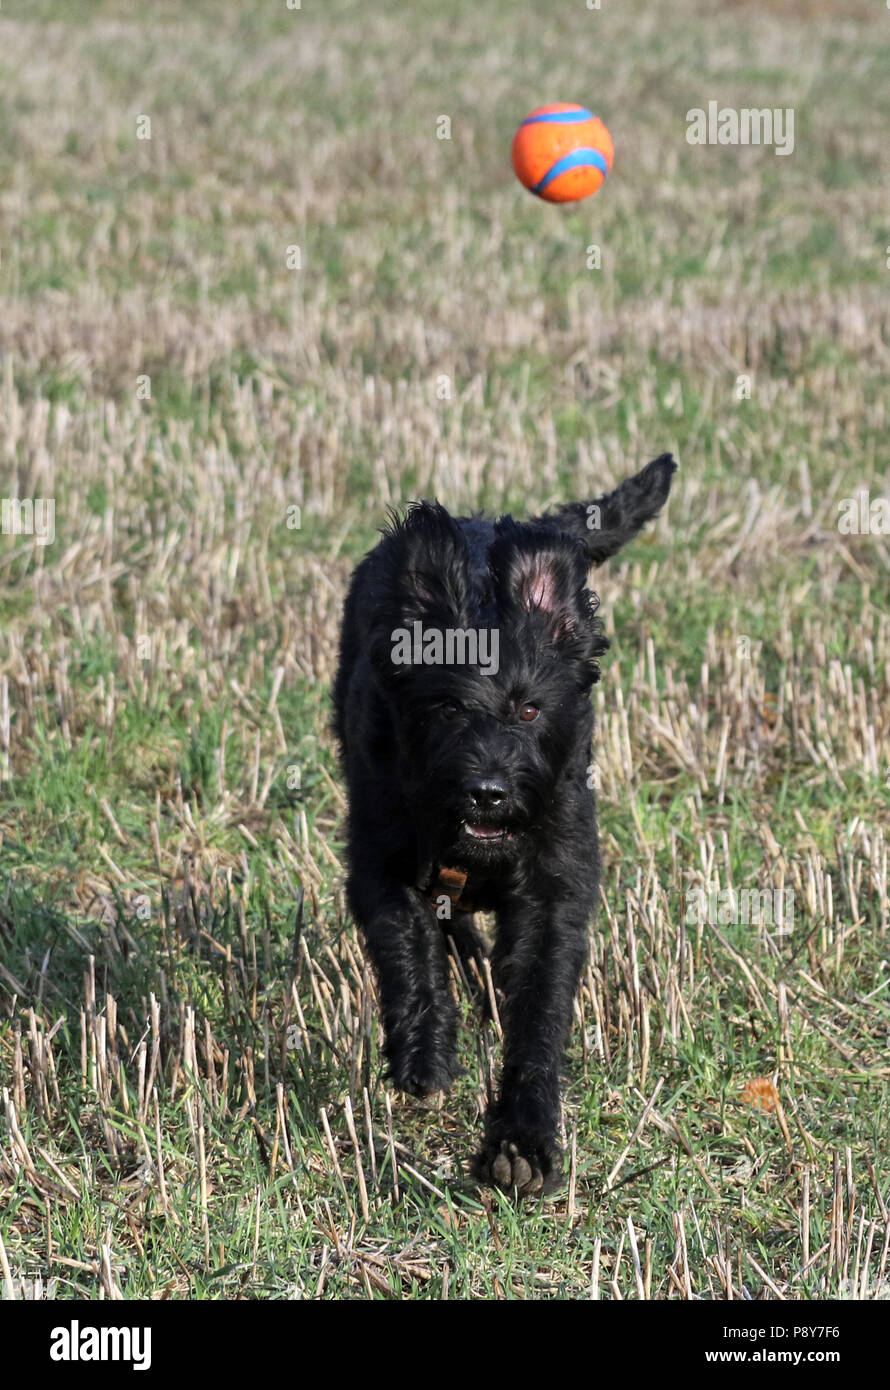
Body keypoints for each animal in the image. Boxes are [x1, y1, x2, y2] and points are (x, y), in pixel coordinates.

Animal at [332, 455, 673, 1195]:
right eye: (448, 709)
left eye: (528, 711)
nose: (487, 793)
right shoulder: (381, 864)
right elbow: (410, 957)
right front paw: (426, 1057)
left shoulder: (554, 894)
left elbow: (539, 1012)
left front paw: (522, 1142)